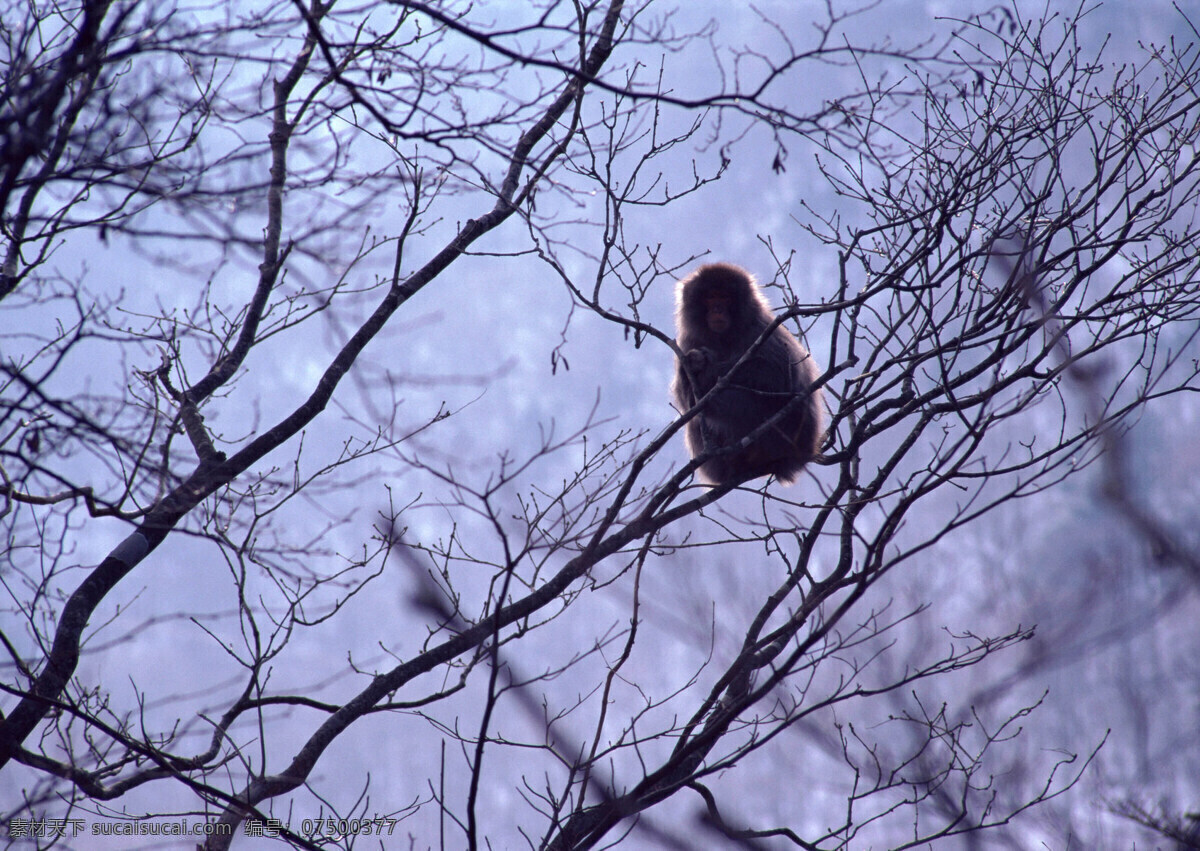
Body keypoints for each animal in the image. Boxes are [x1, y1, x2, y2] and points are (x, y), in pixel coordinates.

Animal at [667, 261, 825, 484]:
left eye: (725, 297)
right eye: (710, 297)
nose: (717, 309)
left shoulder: (761, 328)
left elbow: (778, 375)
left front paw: (708, 365)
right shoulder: (688, 340)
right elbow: (684, 399)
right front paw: (694, 365)